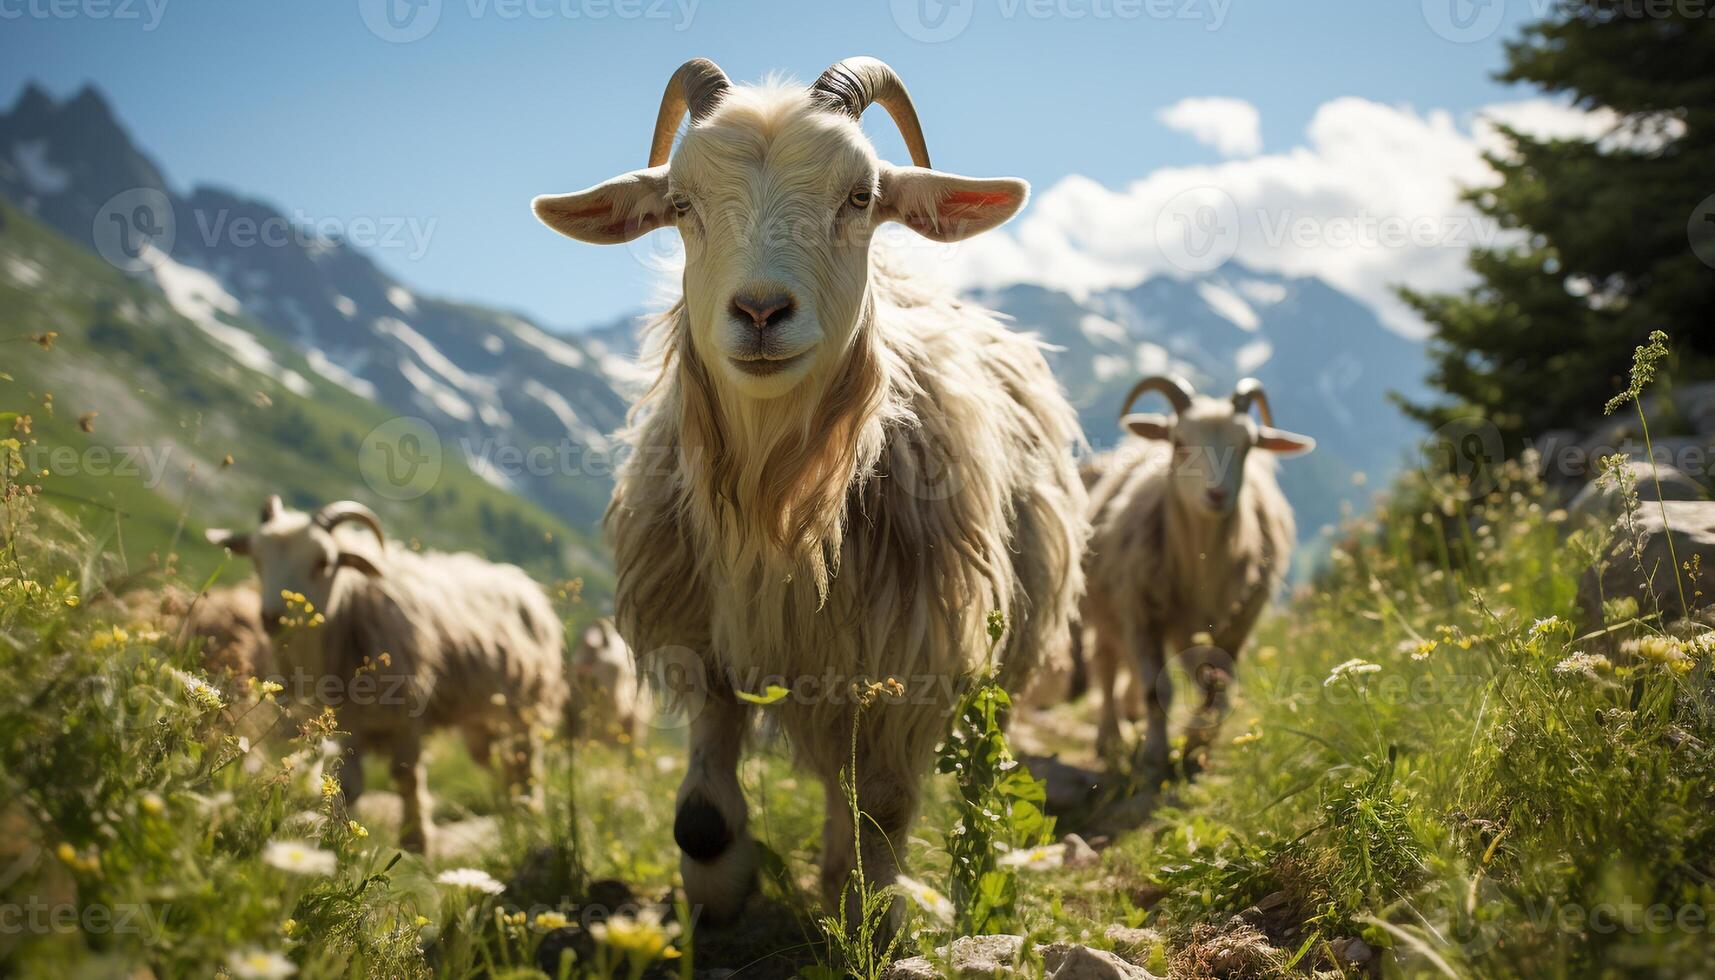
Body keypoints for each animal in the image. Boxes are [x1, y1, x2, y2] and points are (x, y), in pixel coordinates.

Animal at [205, 497, 569, 851]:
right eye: (257, 558)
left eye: (323, 562)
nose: (273, 618)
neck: (350, 608)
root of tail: (523, 581)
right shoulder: (345, 721)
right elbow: (346, 785)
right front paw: (335, 838)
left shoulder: (409, 712)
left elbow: (406, 776)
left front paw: (416, 841)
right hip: (481, 719)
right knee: (500, 762)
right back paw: (511, 809)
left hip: (527, 706)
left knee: (525, 759)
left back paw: (529, 811)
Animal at [531, 57, 1083, 926]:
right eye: (679, 204)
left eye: (860, 196)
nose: (760, 311)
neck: (776, 501)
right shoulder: (703, 642)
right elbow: (700, 815)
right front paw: (718, 894)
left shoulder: (908, 660)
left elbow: (881, 805)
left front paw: (871, 914)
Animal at [1083, 377, 1310, 782]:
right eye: (1179, 442)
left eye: (1248, 446)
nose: (1216, 495)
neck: (1202, 565)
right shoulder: (1140, 613)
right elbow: (1156, 689)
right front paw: (1155, 758)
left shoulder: (1236, 624)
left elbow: (1219, 688)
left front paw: (1195, 744)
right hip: (1106, 610)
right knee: (1106, 664)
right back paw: (1110, 737)